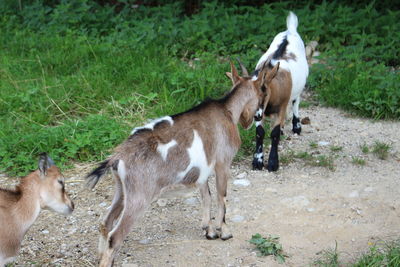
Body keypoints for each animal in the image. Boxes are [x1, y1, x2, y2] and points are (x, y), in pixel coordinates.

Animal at [84, 61, 278, 266]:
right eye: (264, 91)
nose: (259, 116)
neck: (228, 110)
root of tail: (118, 156)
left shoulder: (203, 170)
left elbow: (206, 196)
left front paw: (208, 231)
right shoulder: (223, 162)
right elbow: (221, 196)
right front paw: (224, 232)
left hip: (122, 190)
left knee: (105, 223)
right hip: (139, 197)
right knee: (115, 236)